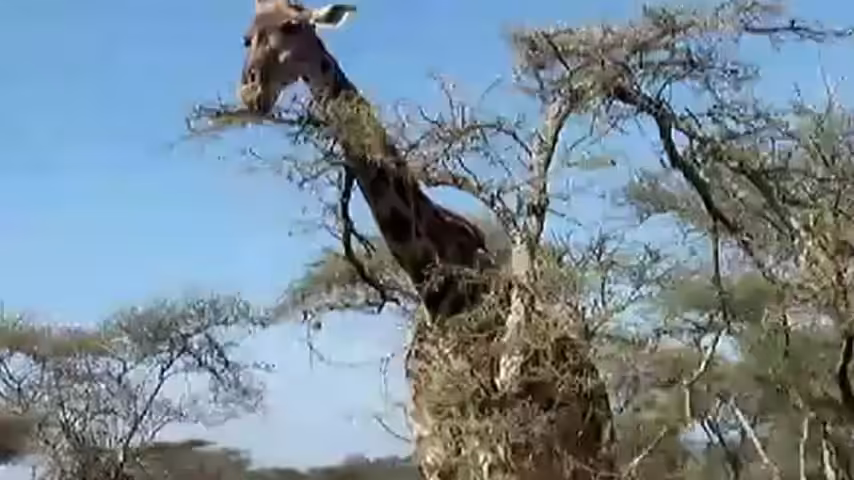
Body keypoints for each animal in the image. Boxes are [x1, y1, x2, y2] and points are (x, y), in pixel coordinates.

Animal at [236, 2, 615, 479]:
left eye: (291, 26)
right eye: (246, 37)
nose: (250, 91)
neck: (436, 290)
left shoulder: (492, 449)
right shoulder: (434, 451)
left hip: (582, 455)